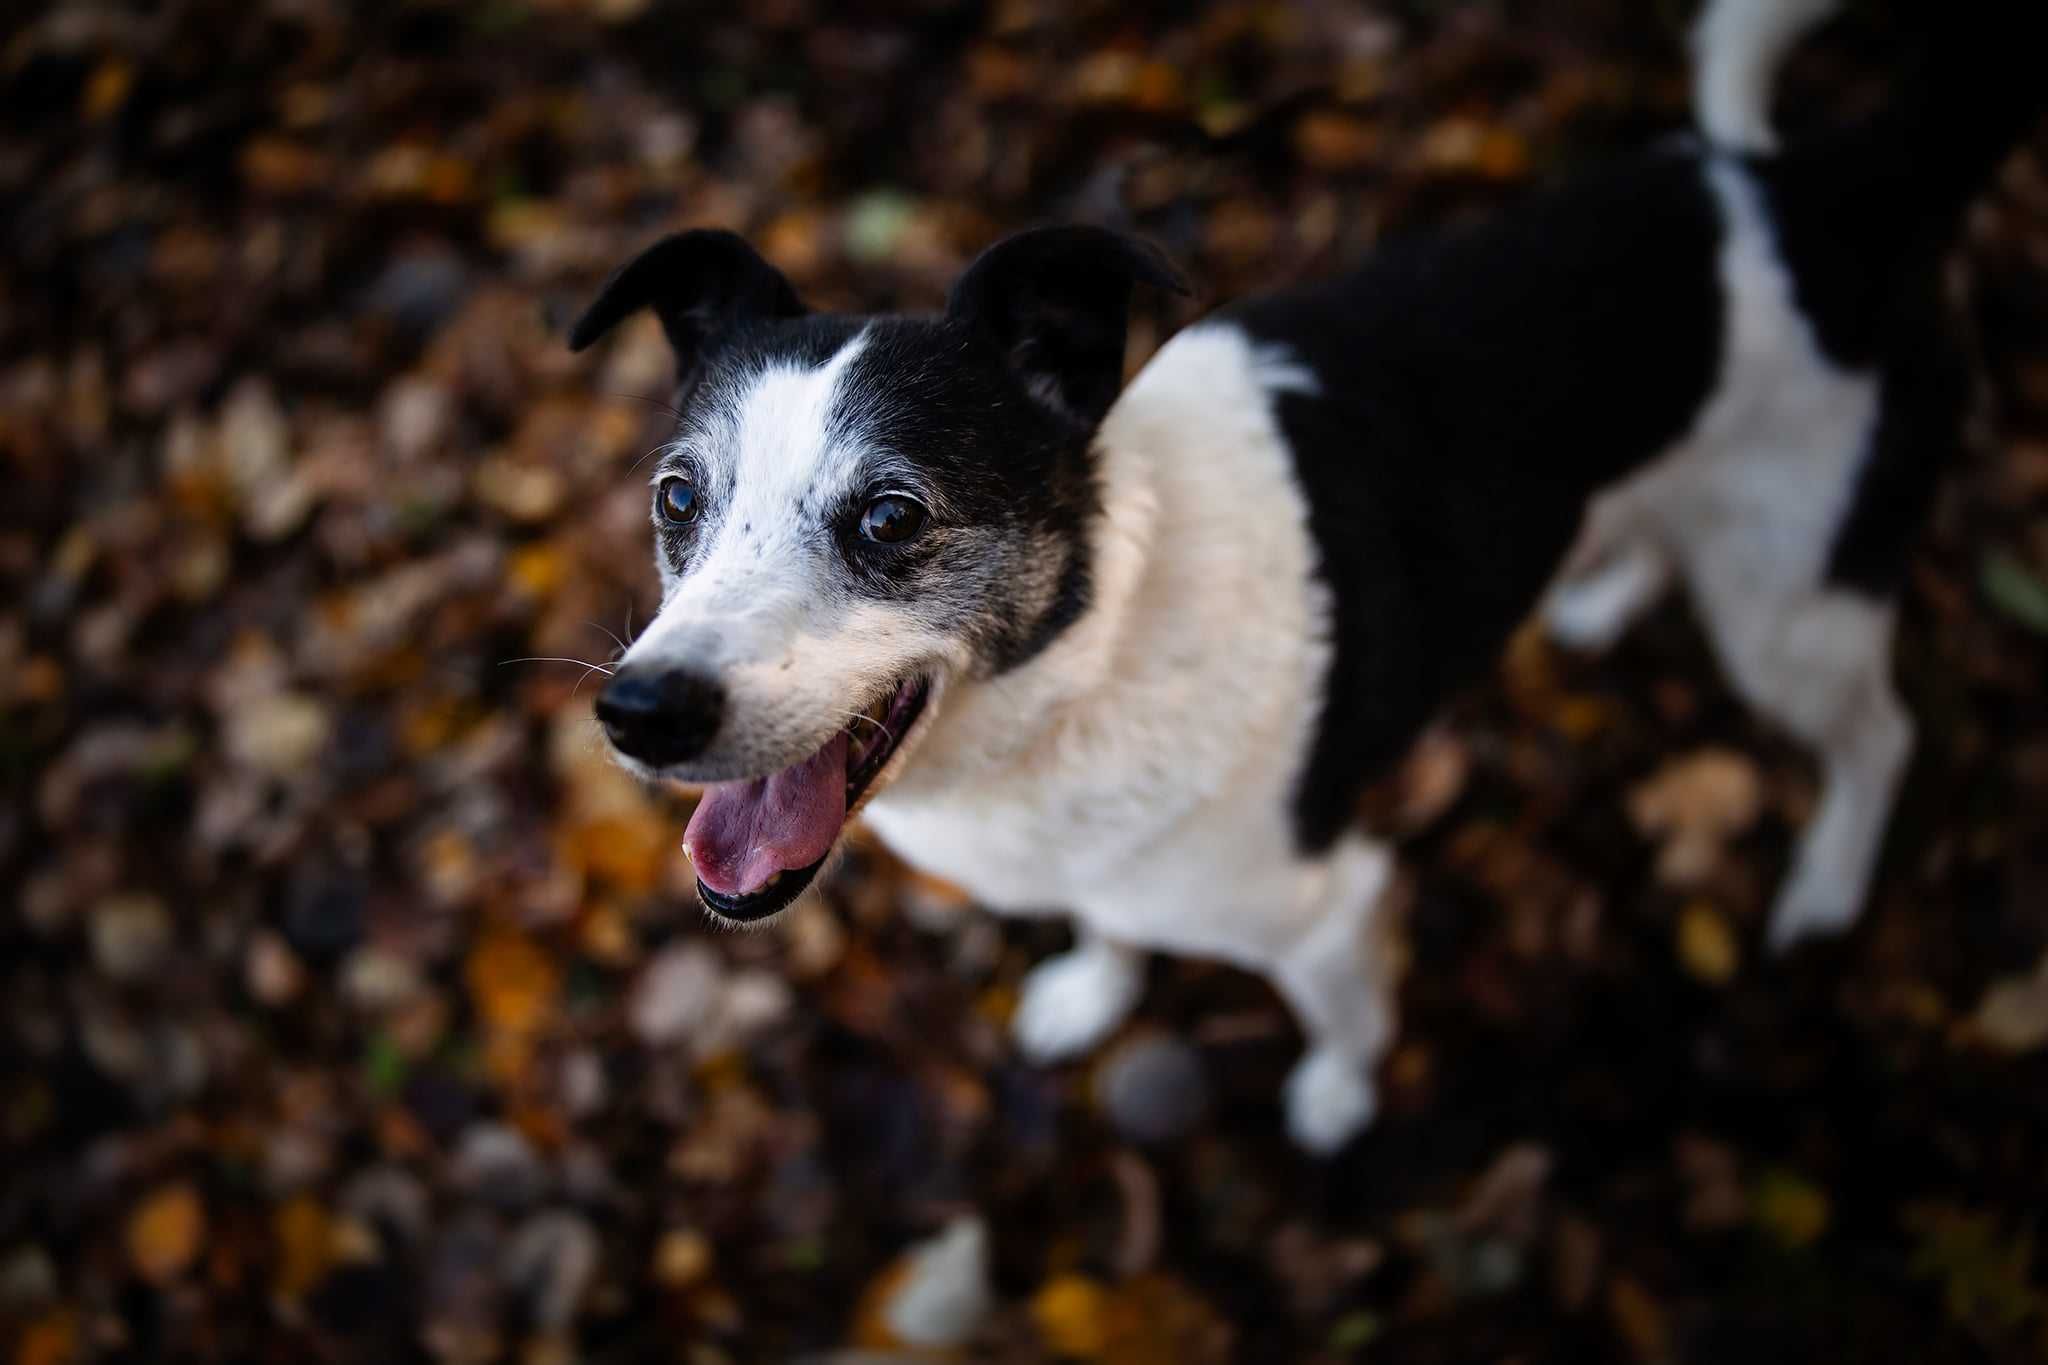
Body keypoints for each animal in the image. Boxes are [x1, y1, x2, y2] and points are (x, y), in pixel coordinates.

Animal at [569, 2, 2039, 1154]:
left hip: (1792, 599)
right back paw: (1603, 593)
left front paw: (1337, 1099)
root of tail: (1809, 196)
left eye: (889, 516)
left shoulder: (1330, 910)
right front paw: (1093, 990)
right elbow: (1108, 929)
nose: (636, 713)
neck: (1088, 662)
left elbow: (1338, 1021)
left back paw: (1829, 886)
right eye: (678, 498)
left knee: (1880, 733)